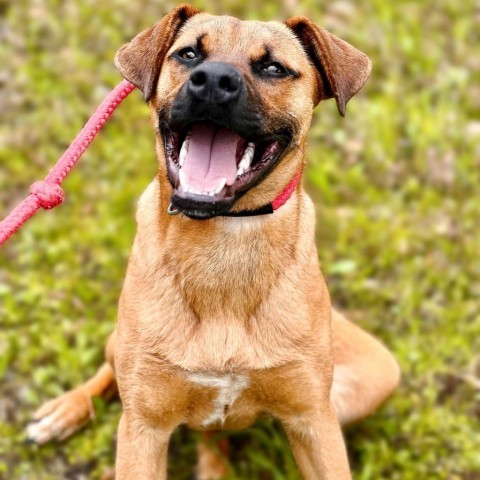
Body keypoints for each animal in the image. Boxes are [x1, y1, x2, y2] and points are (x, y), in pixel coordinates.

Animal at [27, 4, 402, 480]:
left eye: (274, 67)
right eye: (189, 54)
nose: (212, 81)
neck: (223, 243)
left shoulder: (315, 421)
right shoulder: (143, 429)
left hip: (375, 374)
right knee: (110, 373)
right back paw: (66, 409)